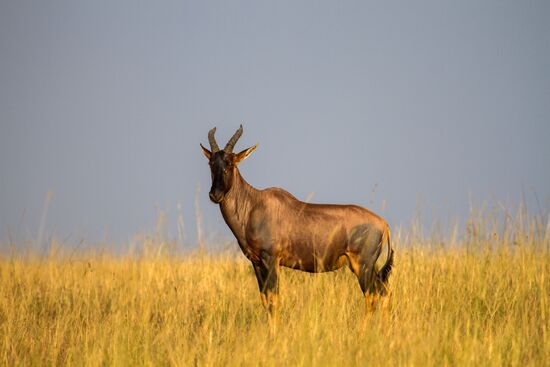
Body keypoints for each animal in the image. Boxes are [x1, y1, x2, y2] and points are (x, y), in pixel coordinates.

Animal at [201, 126, 394, 320]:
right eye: (211, 163)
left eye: (230, 163)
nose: (215, 195)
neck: (254, 204)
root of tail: (383, 224)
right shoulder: (256, 263)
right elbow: (265, 300)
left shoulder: (271, 260)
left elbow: (274, 300)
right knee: (384, 292)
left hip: (363, 266)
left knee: (373, 296)